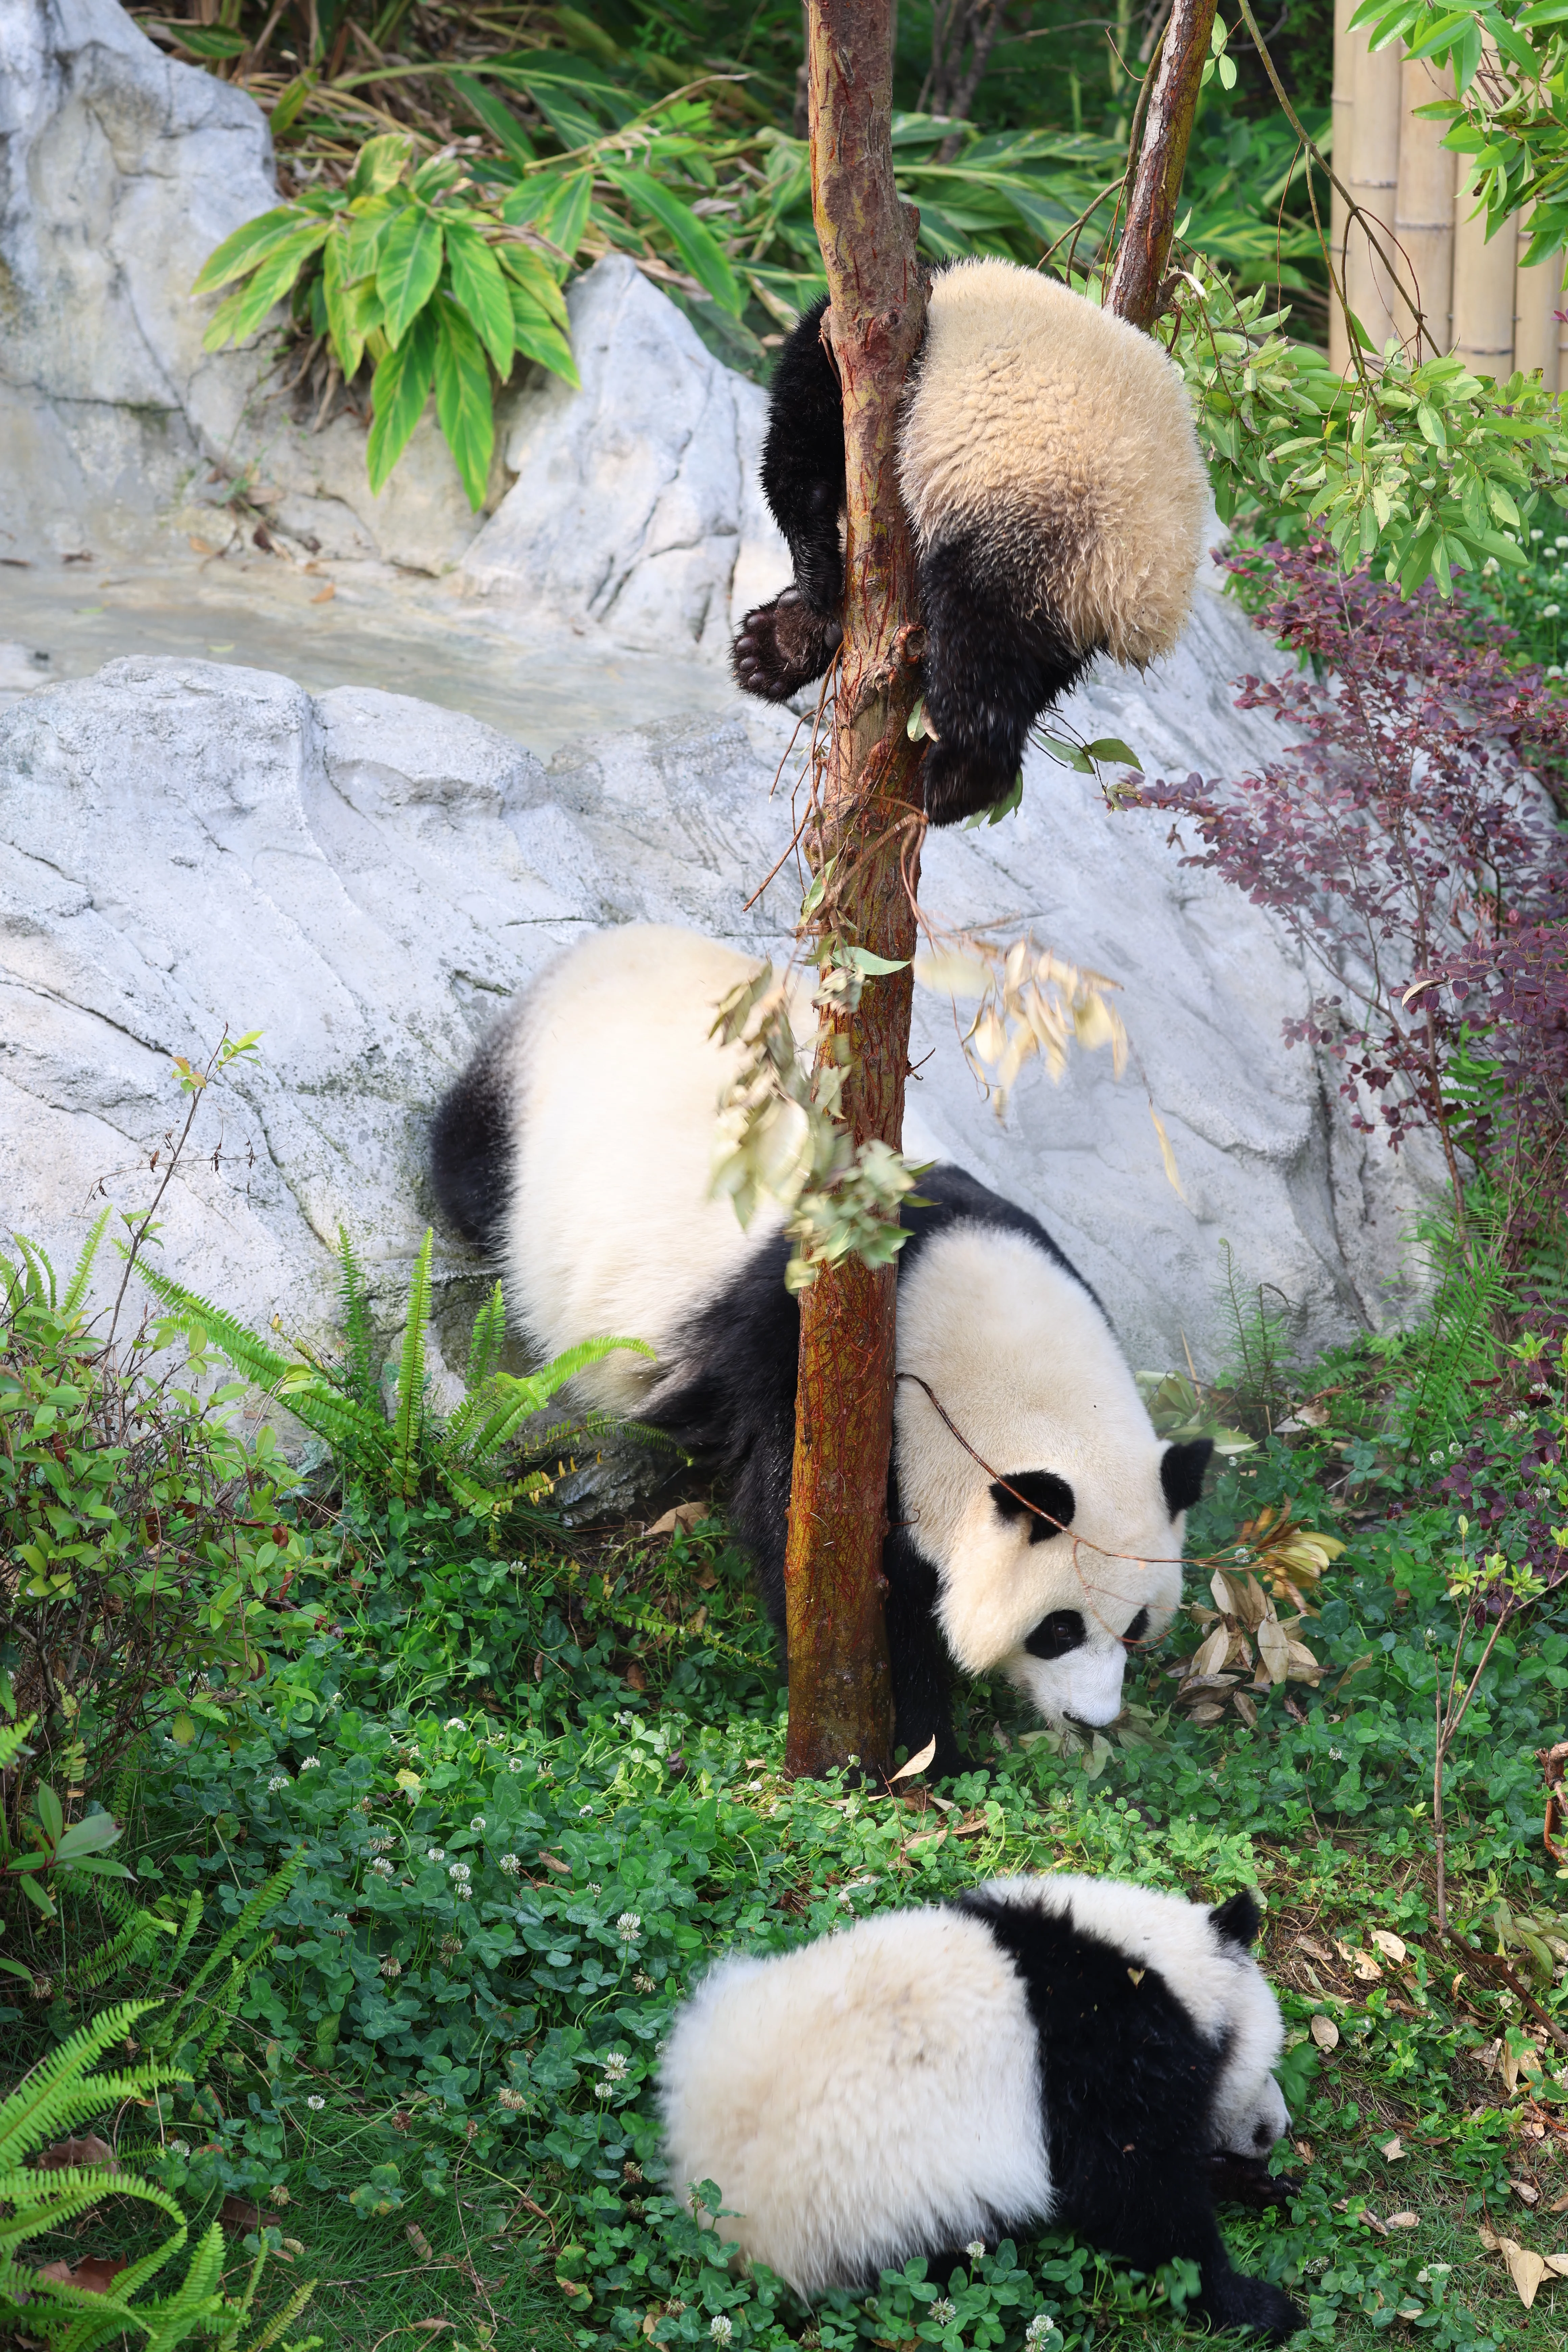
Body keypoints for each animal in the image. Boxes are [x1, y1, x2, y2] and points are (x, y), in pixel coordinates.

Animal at [429, 923, 1211, 1773]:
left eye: (1135, 1625)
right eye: (1059, 1627)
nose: (1092, 1718)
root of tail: (609, 942)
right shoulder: (795, 1361)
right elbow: (811, 1549)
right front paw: (926, 1744)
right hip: (526, 1118)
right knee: (471, 1173)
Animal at [658, 1874, 1301, 2339]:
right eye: (1262, 2065)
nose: (1276, 2129)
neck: (1148, 1960)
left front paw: (1254, 2184)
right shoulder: (1101, 2060)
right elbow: (1138, 2198)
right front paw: (1256, 2306)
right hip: (876, 2203)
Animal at [732, 256, 1209, 828]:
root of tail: (1150, 586)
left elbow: (799, 467)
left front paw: (809, 594)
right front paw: (778, 645)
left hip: (1040, 521)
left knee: (980, 641)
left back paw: (958, 781)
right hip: (1071, 601)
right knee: (1034, 667)